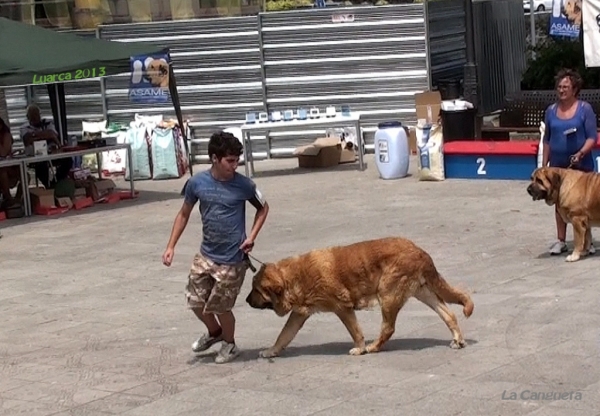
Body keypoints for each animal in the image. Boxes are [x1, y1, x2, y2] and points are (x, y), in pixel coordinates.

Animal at [244, 236, 474, 360]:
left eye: (255, 289)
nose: (245, 301)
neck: (292, 278)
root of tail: (419, 251)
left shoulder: (342, 307)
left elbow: (355, 331)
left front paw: (361, 348)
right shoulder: (299, 315)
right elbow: (283, 336)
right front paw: (271, 351)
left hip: (388, 295)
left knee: (388, 328)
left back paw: (373, 347)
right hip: (423, 293)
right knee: (449, 314)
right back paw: (457, 339)